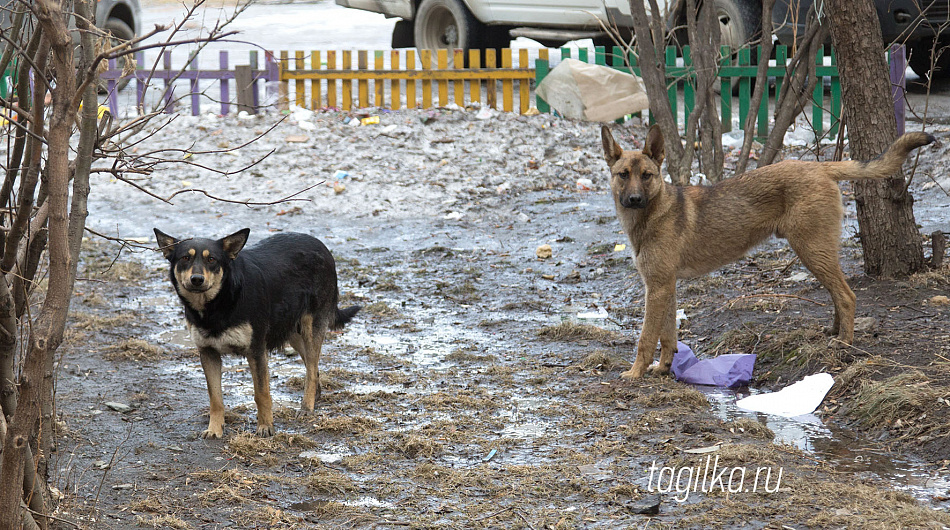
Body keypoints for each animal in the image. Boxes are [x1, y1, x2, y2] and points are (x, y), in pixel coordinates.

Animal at [154, 228, 362, 438]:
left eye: (211, 259)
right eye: (185, 258)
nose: (197, 279)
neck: (217, 303)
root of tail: (321, 246)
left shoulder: (256, 351)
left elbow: (261, 394)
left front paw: (265, 427)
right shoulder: (208, 352)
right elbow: (215, 398)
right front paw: (214, 429)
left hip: (311, 328)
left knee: (311, 369)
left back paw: (307, 406)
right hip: (291, 330)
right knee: (313, 367)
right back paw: (315, 395)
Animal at [604, 124, 936, 378]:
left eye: (646, 175)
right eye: (623, 174)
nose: (634, 200)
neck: (653, 213)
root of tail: (819, 166)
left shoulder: (657, 288)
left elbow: (646, 337)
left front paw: (635, 373)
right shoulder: (665, 286)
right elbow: (668, 335)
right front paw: (663, 368)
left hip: (811, 250)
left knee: (847, 295)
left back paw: (844, 342)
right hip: (818, 251)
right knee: (839, 294)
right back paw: (834, 331)